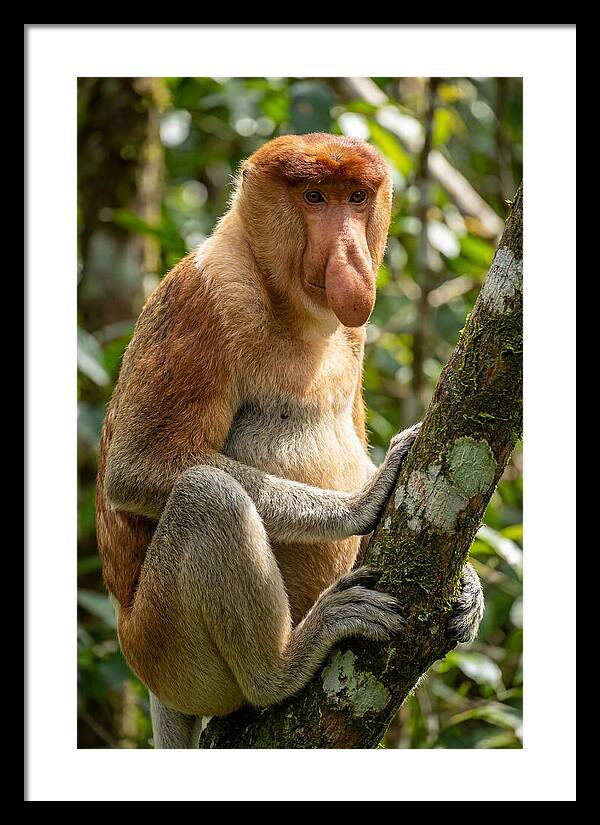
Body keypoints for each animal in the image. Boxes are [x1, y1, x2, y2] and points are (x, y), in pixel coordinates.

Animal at [96, 133, 484, 749]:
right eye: (315, 197)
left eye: (355, 197)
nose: (350, 256)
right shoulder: (204, 299)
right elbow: (138, 467)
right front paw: (363, 501)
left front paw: (468, 584)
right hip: (163, 649)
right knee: (207, 496)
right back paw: (283, 666)